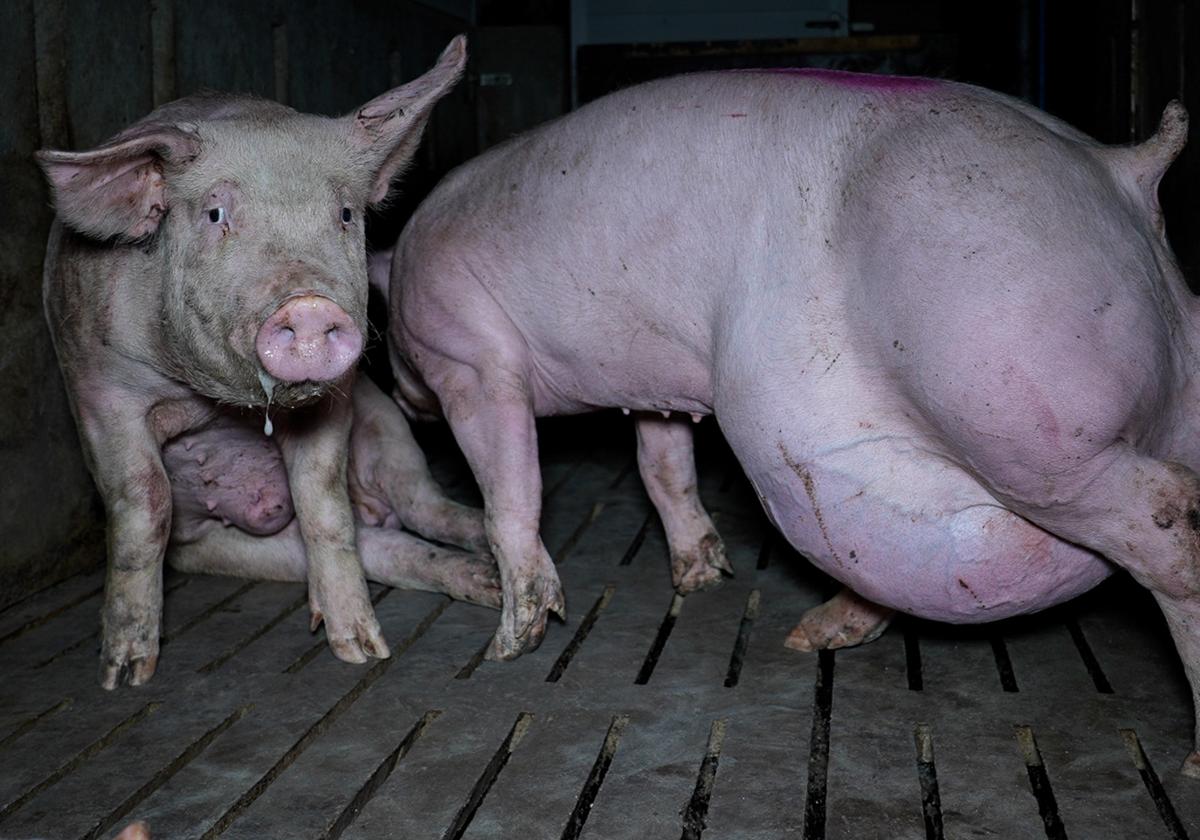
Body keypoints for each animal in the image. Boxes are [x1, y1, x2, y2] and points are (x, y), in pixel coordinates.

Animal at [36, 36, 477, 686]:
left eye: (345, 214)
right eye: (216, 215)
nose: (310, 305)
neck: (217, 398)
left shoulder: (338, 397)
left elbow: (323, 501)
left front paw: (361, 652)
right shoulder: (99, 387)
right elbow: (143, 507)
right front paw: (125, 675)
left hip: (388, 428)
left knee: (421, 505)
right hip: (231, 547)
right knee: (388, 544)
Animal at [386, 69, 1200, 777]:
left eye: (396, 341)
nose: (402, 399)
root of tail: (1120, 172)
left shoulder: (467, 354)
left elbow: (508, 489)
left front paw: (510, 645)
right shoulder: (652, 378)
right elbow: (663, 464)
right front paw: (702, 576)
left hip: (1025, 409)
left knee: (1171, 526)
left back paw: (1192, 759)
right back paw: (808, 637)